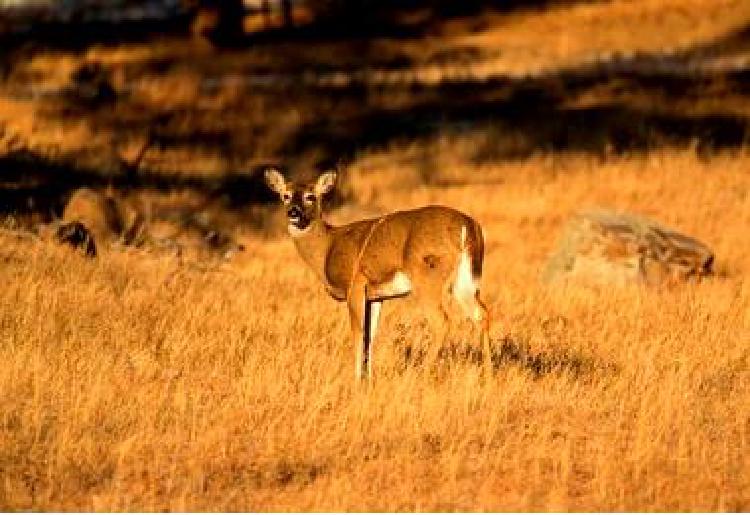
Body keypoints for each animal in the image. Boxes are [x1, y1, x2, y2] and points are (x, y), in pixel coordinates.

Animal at [264, 167, 494, 380]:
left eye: (310, 196)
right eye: (285, 195)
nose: (293, 212)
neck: (328, 247)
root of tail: (468, 225)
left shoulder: (355, 284)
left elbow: (358, 333)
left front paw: (357, 381)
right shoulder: (375, 296)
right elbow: (370, 336)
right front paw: (369, 379)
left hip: (428, 275)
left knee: (441, 321)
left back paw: (421, 375)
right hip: (466, 280)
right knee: (481, 313)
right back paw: (488, 376)